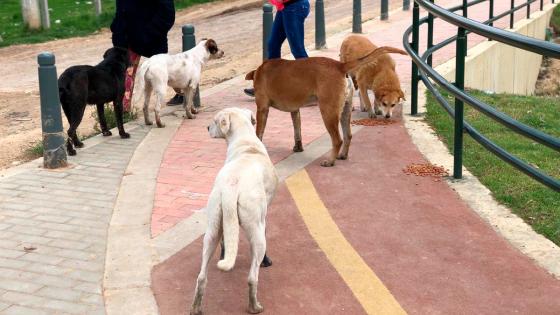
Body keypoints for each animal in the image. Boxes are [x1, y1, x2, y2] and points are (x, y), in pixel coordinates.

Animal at [191, 107, 278, 314]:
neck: (246, 143)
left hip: (211, 230)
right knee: (252, 278)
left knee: (201, 277)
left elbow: (226, 241)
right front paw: (267, 261)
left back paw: (196, 308)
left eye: (214, 121)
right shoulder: (263, 218)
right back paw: (255, 306)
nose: (207, 127)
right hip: (256, 231)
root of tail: (232, 184)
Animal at [245, 47, 406, 168]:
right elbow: (297, 131)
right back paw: (343, 155)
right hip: (345, 111)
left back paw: (330, 161)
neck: (259, 72)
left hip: (328, 112)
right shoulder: (295, 111)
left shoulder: (262, 109)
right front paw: (298, 147)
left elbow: (259, 132)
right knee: (348, 135)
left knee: (337, 139)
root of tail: (339, 66)